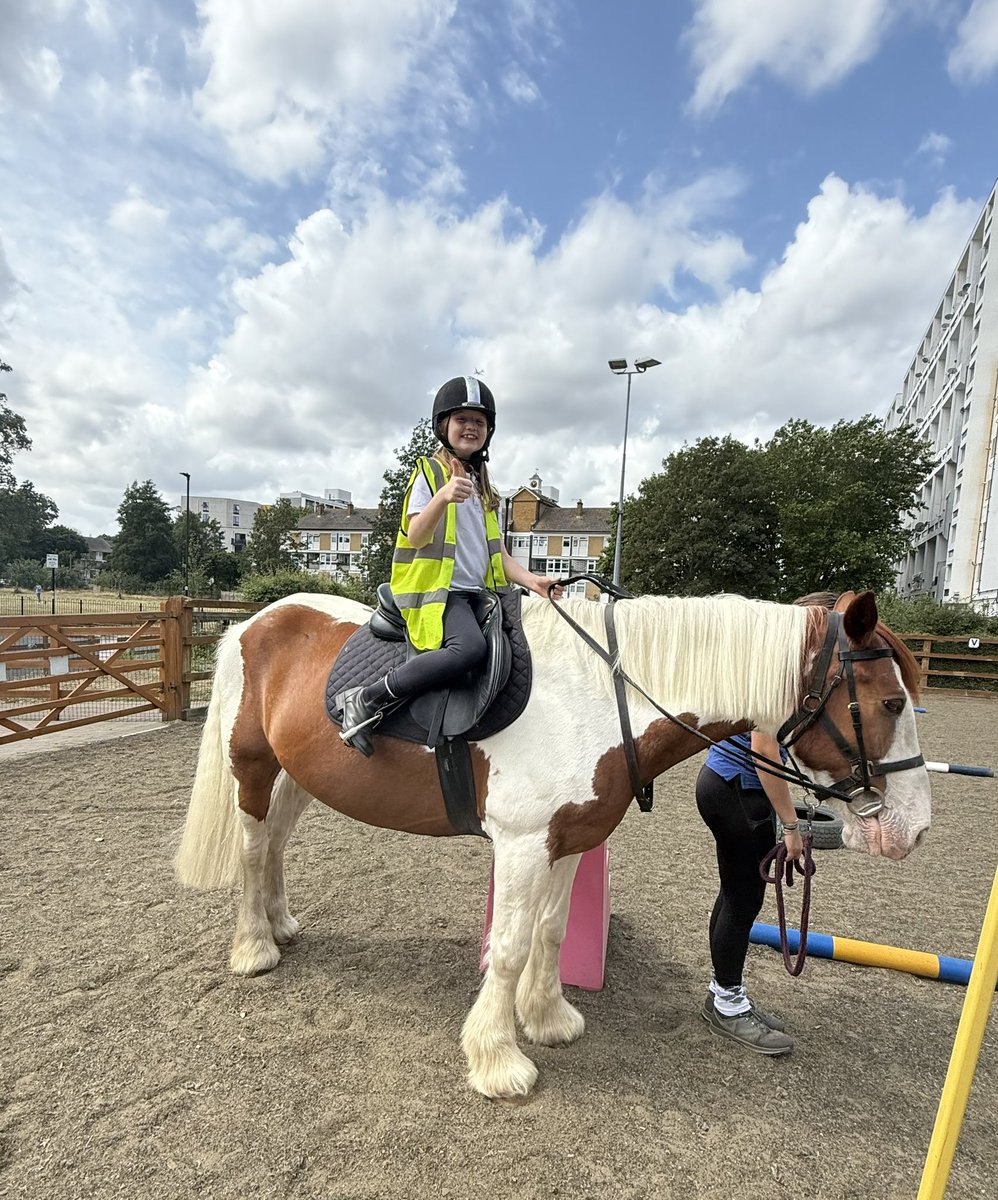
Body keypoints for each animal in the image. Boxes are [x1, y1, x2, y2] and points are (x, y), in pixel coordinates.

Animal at [174, 588, 931, 1098]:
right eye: (891, 703)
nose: (913, 829)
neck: (596, 697)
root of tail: (254, 622)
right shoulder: (520, 845)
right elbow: (508, 948)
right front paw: (497, 1059)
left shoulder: (568, 841)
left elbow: (551, 931)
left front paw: (546, 1018)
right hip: (252, 767)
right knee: (252, 849)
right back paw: (255, 947)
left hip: (300, 775)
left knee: (276, 842)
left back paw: (281, 923)